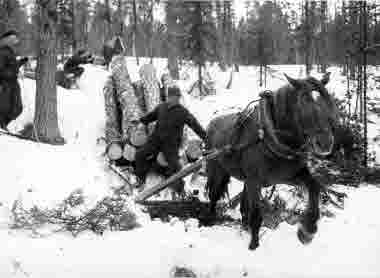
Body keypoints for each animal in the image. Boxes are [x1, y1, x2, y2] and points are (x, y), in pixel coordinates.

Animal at [205, 72, 338, 250]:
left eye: (327, 99)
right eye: (303, 101)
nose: (325, 143)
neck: (270, 136)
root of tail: (212, 123)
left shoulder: (289, 175)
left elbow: (314, 186)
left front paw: (307, 231)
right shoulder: (255, 181)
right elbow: (256, 214)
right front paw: (253, 246)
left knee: (243, 205)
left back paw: (244, 228)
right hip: (218, 170)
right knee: (214, 195)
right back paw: (210, 220)